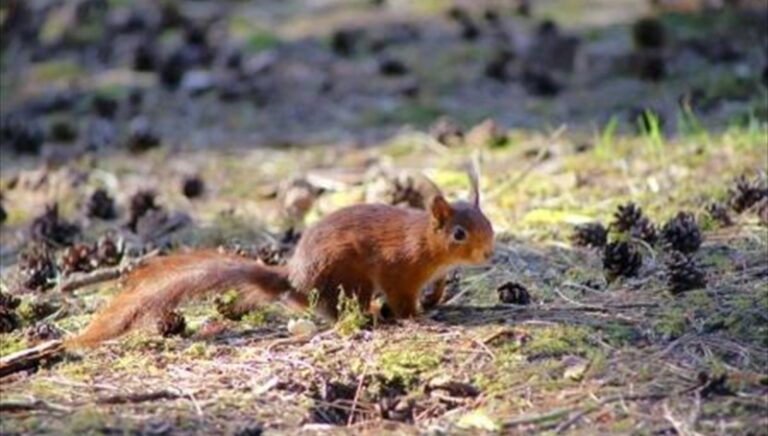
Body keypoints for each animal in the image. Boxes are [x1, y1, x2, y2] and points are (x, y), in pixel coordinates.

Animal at [69, 169, 496, 348]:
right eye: (459, 234)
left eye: (489, 223)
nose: (489, 253)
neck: (427, 245)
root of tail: (296, 283)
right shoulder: (398, 268)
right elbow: (403, 299)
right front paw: (419, 317)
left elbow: (436, 286)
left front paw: (439, 297)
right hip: (349, 279)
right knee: (341, 310)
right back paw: (373, 315)